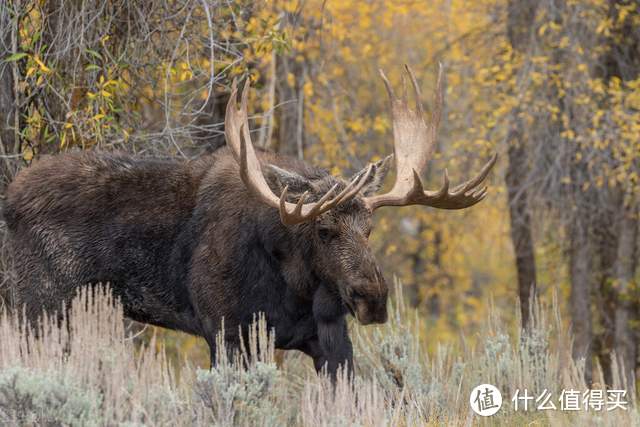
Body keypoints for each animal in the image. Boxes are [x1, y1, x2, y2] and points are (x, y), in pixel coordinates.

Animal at [2, 66, 498, 378]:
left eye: (370, 230)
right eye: (323, 231)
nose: (373, 298)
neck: (294, 288)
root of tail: (9, 200)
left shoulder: (332, 341)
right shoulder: (225, 332)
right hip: (38, 306)